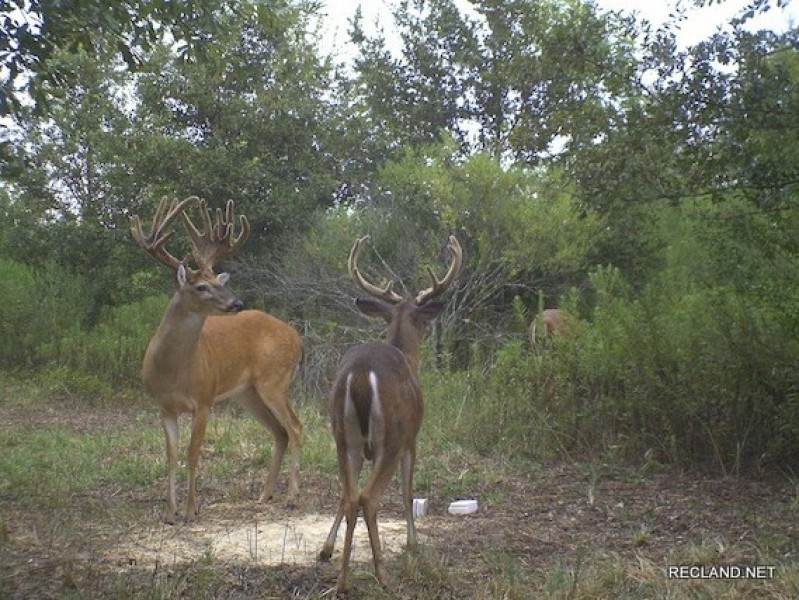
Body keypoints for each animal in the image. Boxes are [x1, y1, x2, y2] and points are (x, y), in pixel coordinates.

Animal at [130, 196, 303, 523]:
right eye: (201, 286)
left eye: (218, 281)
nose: (237, 302)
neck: (173, 371)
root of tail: (297, 337)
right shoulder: (164, 406)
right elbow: (171, 455)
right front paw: (169, 512)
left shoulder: (204, 399)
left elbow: (192, 453)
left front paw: (190, 511)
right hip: (248, 393)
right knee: (280, 432)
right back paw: (264, 495)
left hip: (275, 380)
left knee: (295, 427)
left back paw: (291, 498)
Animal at [318, 234, 463, 593]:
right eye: (422, 319)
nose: (432, 328)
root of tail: (359, 374)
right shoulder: (413, 437)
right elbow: (407, 490)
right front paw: (413, 543)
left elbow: (344, 496)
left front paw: (326, 549)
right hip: (392, 435)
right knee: (369, 498)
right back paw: (383, 575)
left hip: (344, 436)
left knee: (350, 495)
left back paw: (343, 581)